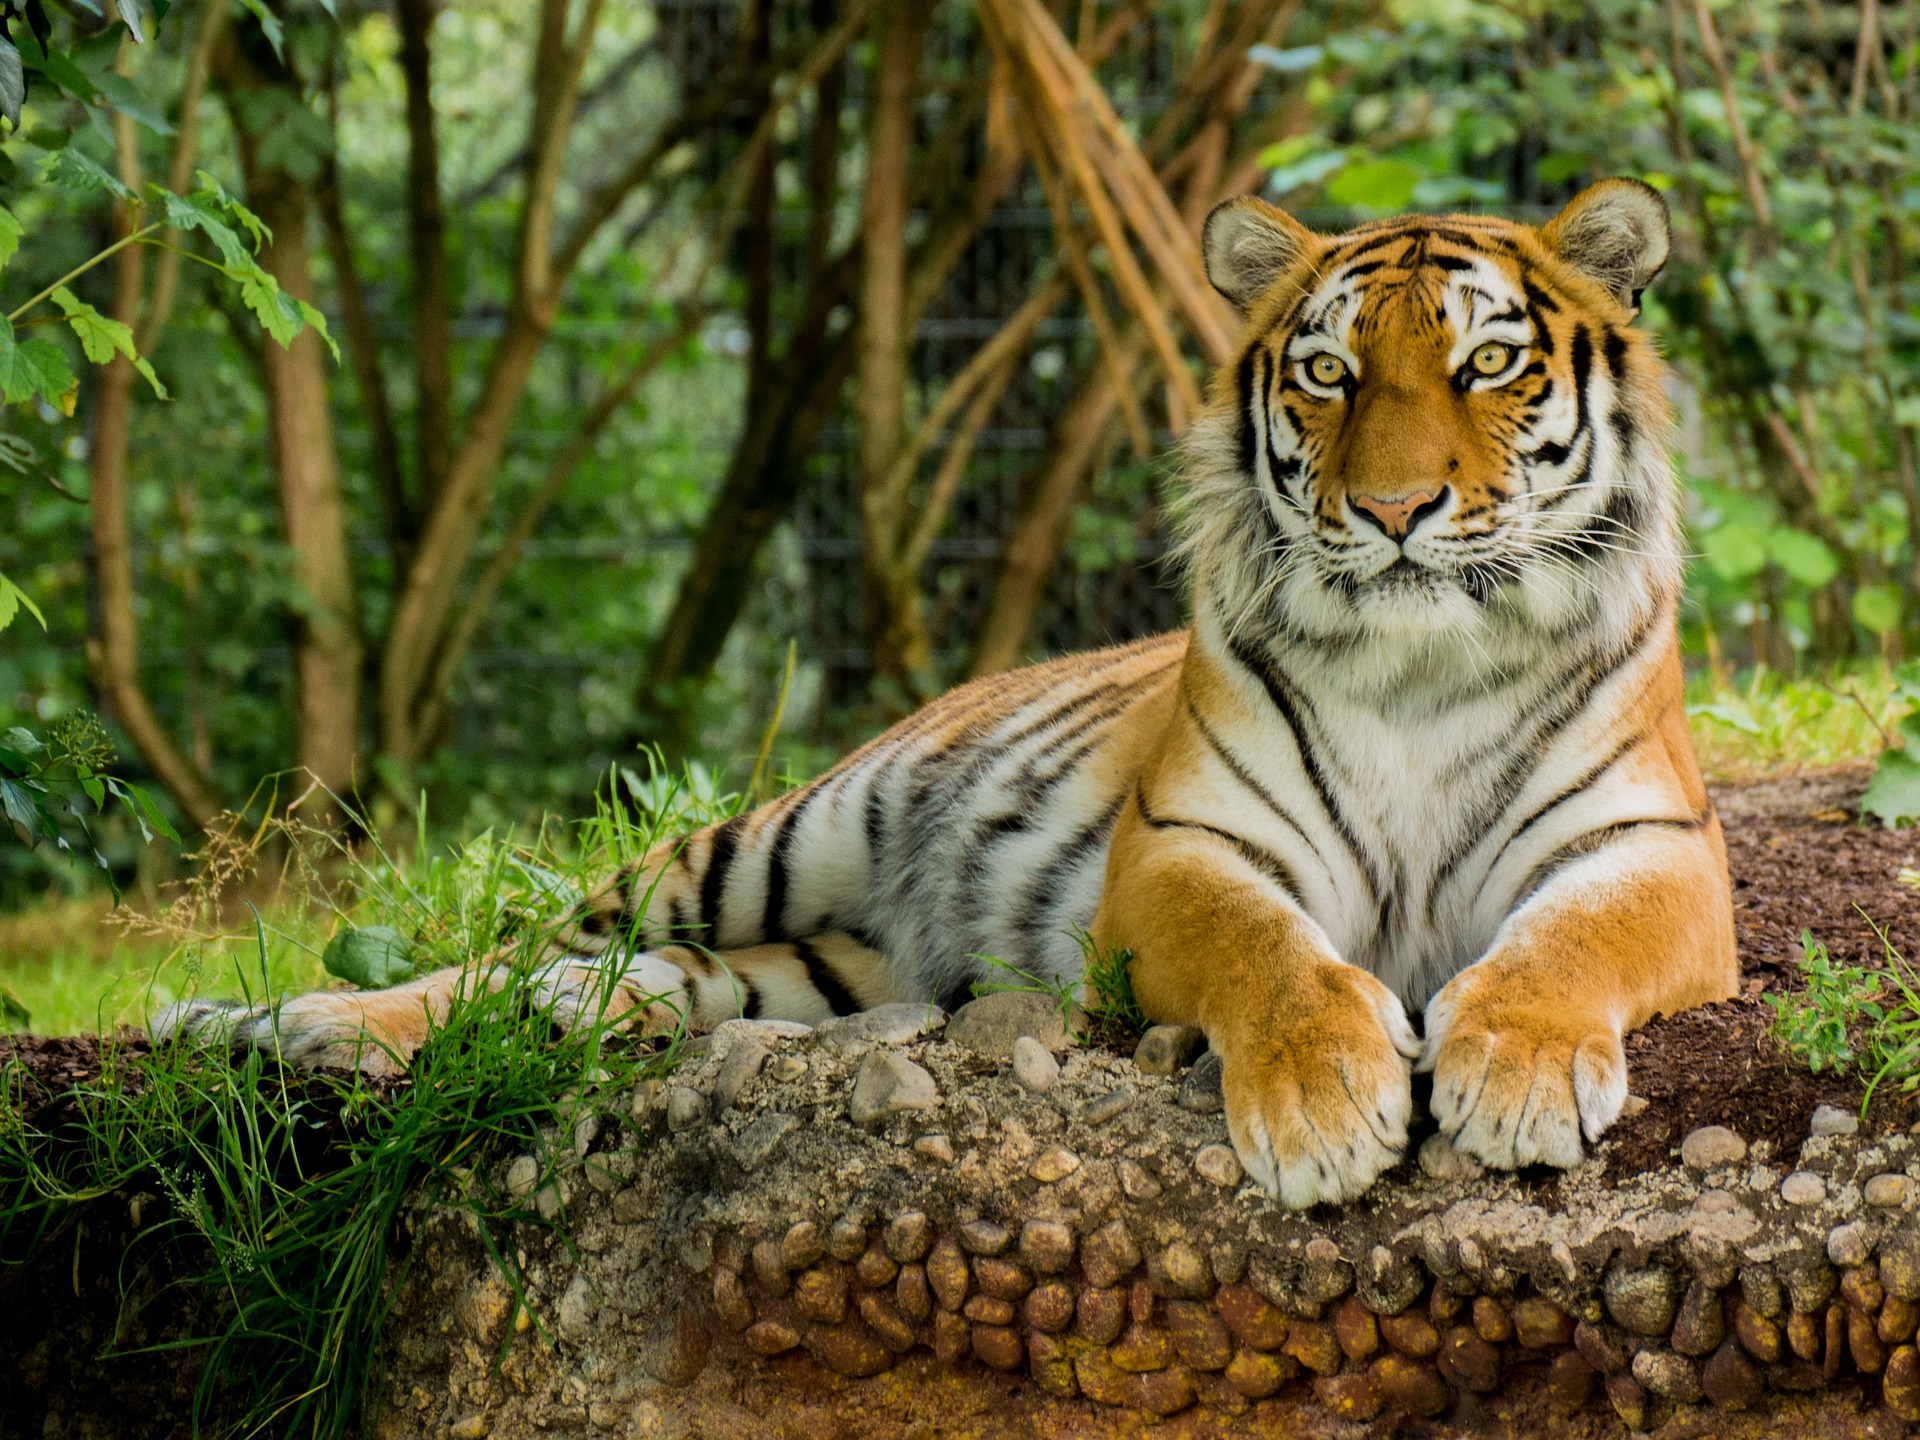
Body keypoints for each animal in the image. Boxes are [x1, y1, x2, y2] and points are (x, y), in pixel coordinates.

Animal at [161, 179, 1737, 1209]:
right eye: (1330, 375)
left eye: (1489, 363)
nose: (1396, 510)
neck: (1419, 664)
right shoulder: (1183, 851)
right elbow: (1271, 958)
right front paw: (1327, 1107)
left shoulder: (1646, 852)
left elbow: (1564, 948)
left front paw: (1516, 1075)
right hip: (762, 841)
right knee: (510, 954)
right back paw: (278, 1024)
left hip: (816, 970)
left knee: (619, 985)